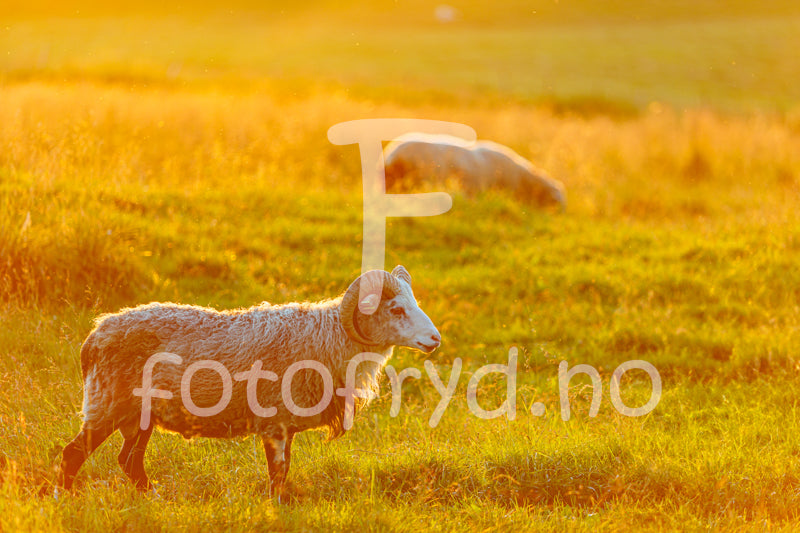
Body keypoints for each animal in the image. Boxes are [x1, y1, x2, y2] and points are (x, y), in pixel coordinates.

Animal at [56, 265, 441, 498]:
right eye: (396, 310)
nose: (435, 339)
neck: (331, 338)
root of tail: (95, 335)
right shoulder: (274, 422)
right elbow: (277, 472)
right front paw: (275, 508)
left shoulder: (286, 425)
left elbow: (284, 471)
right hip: (108, 402)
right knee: (73, 454)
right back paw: (63, 498)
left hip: (139, 415)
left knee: (130, 462)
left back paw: (152, 497)